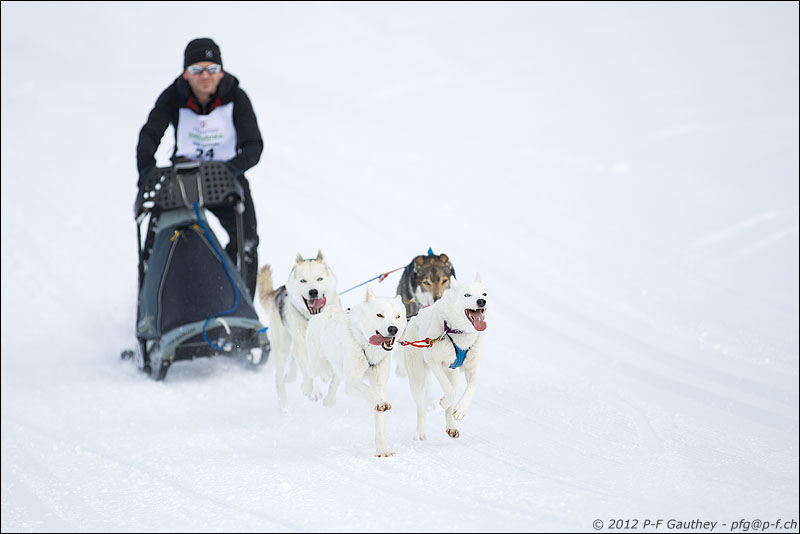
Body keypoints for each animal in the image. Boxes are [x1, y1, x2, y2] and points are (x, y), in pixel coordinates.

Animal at [257, 250, 338, 412]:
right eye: (303, 281)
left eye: (319, 278)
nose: (313, 292)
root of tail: (279, 291)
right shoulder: (300, 346)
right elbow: (308, 372)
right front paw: (313, 390)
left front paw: (328, 395)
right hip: (282, 347)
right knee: (279, 378)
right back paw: (284, 405)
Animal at [306, 285, 408, 457]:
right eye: (380, 315)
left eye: (397, 316)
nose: (393, 329)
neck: (368, 347)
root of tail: (327, 311)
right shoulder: (352, 381)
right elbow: (368, 391)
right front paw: (379, 402)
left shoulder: (379, 384)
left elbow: (380, 421)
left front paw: (382, 450)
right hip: (318, 365)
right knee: (309, 376)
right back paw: (309, 389)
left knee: (335, 379)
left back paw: (329, 400)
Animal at [398, 273, 488, 440]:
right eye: (467, 295)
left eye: (484, 294)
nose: (481, 301)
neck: (457, 332)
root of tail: (414, 318)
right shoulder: (433, 361)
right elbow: (450, 392)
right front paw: (444, 402)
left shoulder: (472, 367)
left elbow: (472, 387)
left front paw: (460, 410)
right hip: (417, 378)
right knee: (421, 408)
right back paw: (420, 432)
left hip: (452, 374)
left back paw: (451, 426)